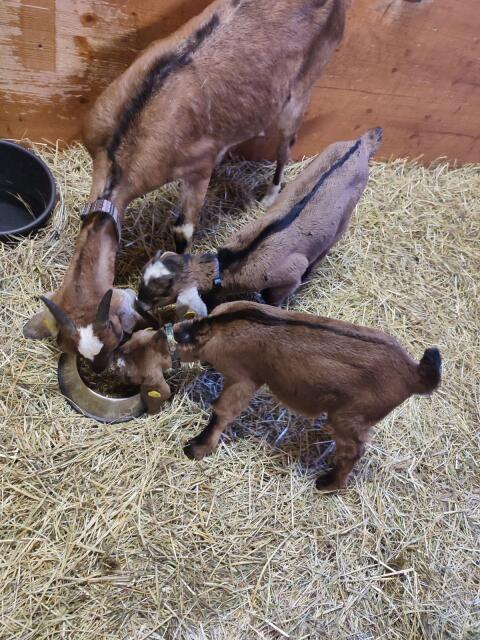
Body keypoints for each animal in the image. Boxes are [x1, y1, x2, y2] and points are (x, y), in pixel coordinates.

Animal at [136, 128, 382, 316]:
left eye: (161, 295)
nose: (138, 307)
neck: (230, 263)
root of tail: (360, 144)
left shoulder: (289, 274)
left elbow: (276, 295)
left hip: (346, 216)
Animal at [173, 301, 442, 490]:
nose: (176, 356)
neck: (222, 324)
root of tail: (414, 373)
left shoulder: (243, 378)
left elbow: (222, 412)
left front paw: (197, 448)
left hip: (348, 418)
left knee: (353, 451)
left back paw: (328, 484)